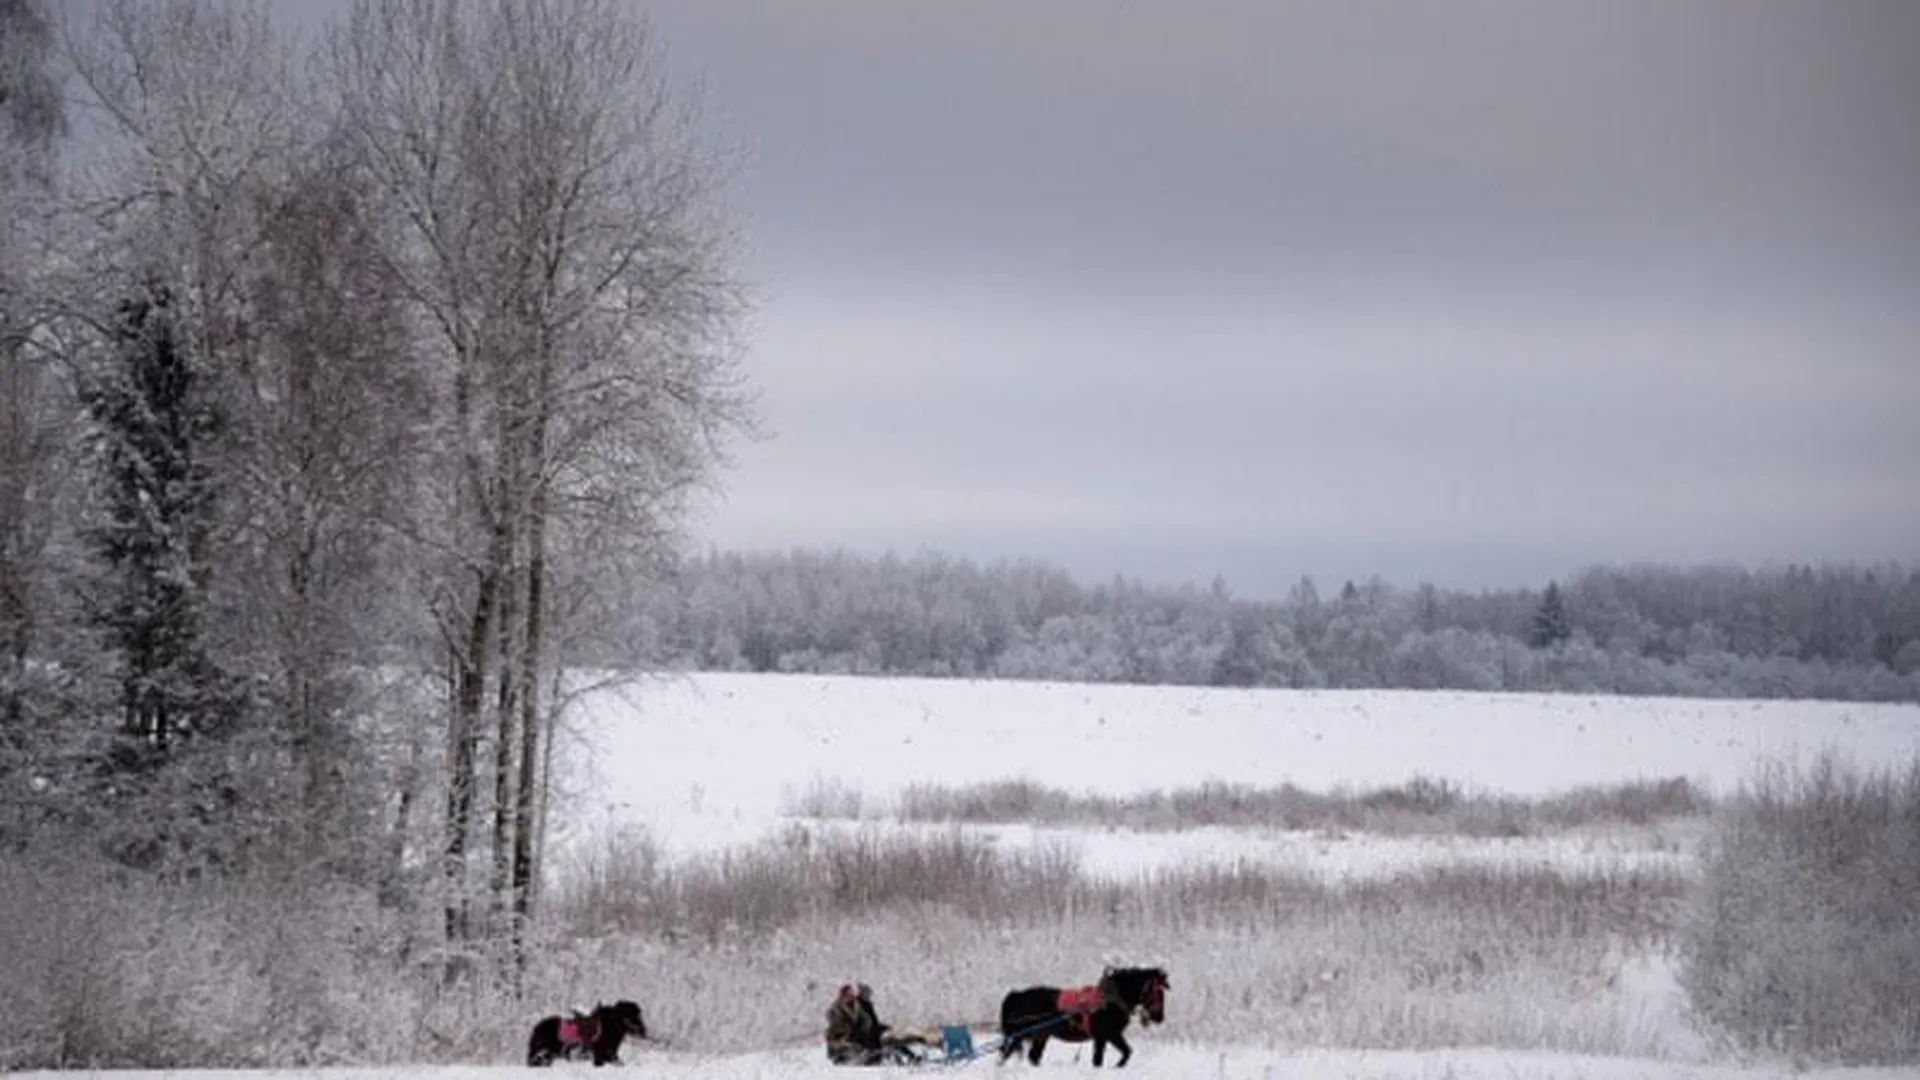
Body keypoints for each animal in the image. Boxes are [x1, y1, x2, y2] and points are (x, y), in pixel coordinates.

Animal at [998, 960, 1159, 1060]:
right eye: (1156, 991)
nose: (1159, 1016)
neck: (1111, 998)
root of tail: (1018, 995)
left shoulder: (1111, 1036)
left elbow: (1125, 1052)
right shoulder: (1107, 1035)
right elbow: (1101, 1058)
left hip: (1040, 1035)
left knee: (1032, 1057)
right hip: (1021, 1035)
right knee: (1007, 1053)